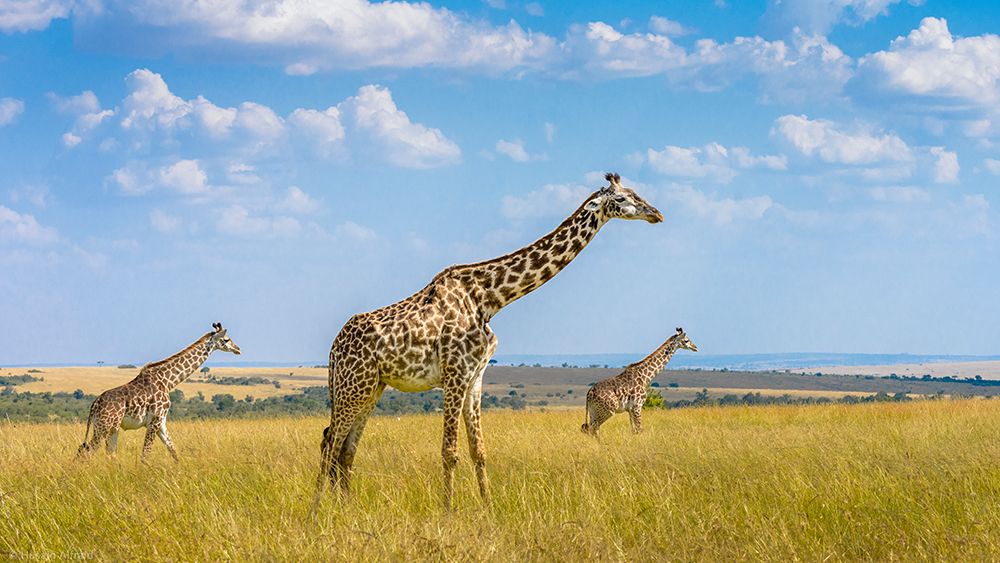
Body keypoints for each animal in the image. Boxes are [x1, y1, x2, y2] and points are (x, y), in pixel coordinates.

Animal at [77, 323, 241, 462]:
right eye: (226, 339)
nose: (238, 349)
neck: (168, 382)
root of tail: (94, 405)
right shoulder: (154, 420)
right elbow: (145, 455)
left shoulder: (161, 421)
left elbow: (173, 451)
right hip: (103, 427)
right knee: (86, 453)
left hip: (111, 428)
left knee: (107, 454)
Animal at [314, 172, 664, 510]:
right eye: (622, 198)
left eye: (636, 193)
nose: (656, 214)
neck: (490, 298)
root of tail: (334, 347)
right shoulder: (454, 373)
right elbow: (449, 451)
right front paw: (448, 512)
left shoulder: (475, 376)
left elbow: (478, 450)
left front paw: (489, 507)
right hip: (352, 386)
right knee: (329, 443)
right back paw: (317, 512)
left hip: (371, 387)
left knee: (345, 449)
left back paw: (347, 508)